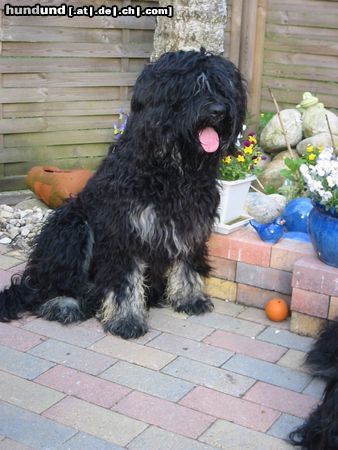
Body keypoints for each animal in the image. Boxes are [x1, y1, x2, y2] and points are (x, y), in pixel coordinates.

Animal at [0, 49, 246, 338]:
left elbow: (187, 262)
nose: (219, 111)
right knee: (49, 288)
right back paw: (64, 303)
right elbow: (125, 281)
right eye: (192, 88)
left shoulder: (190, 222)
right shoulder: (124, 231)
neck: (171, 170)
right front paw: (126, 319)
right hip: (70, 224)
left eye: (222, 87)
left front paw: (190, 298)